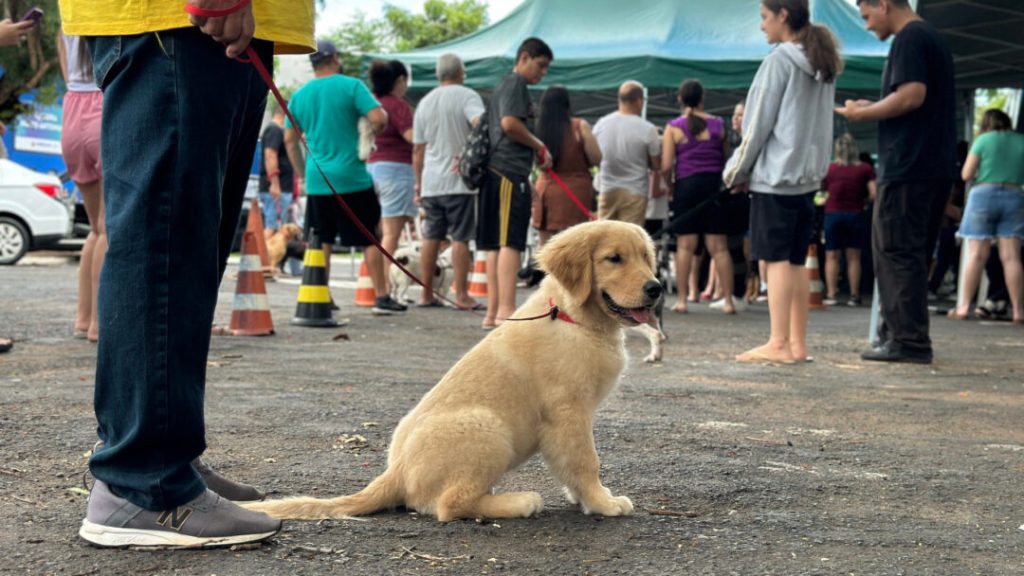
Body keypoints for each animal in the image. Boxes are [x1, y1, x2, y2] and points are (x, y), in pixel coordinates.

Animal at [245, 221, 661, 522]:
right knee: (449, 505)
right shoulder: (568, 412)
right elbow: (586, 461)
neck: (573, 316)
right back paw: (519, 501)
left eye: (645, 256)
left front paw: (583, 498)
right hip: (489, 429)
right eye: (613, 258)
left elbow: (572, 465)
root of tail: (395, 472)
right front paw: (603, 503)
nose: (656, 288)